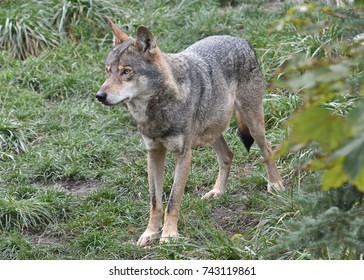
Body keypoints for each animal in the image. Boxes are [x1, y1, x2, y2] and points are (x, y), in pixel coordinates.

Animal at [95, 20, 282, 247]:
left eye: (126, 71)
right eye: (108, 71)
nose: (99, 95)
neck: (157, 111)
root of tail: (241, 39)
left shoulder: (183, 154)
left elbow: (173, 200)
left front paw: (168, 235)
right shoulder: (153, 153)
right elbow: (155, 201)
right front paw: (150, 233)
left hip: (253, 124)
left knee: (267, 149)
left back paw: (275, 184)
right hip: (211, 131)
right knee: (228, 155)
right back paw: (217, 192)